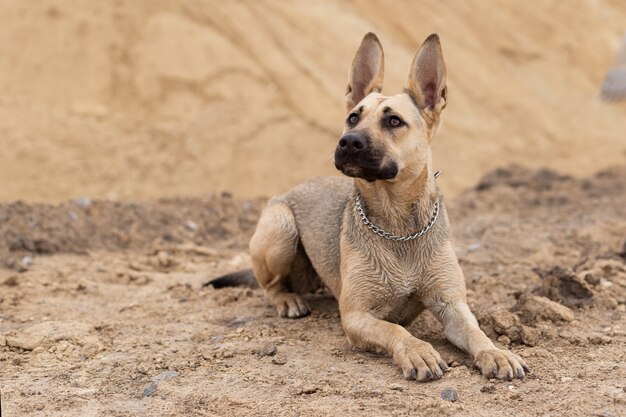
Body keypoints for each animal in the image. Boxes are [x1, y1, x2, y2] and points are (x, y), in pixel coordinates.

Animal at [208, 31, 528, 380]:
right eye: (352, 118)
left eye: (394, 121)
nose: (348, 142)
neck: (398, 226)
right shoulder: (356, 316)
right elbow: (395, 330)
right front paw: (417, 351)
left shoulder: (452, 305)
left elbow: (475, 331)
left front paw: (496, 352)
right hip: (280, 227)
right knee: (269, 284)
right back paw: (287, 300)